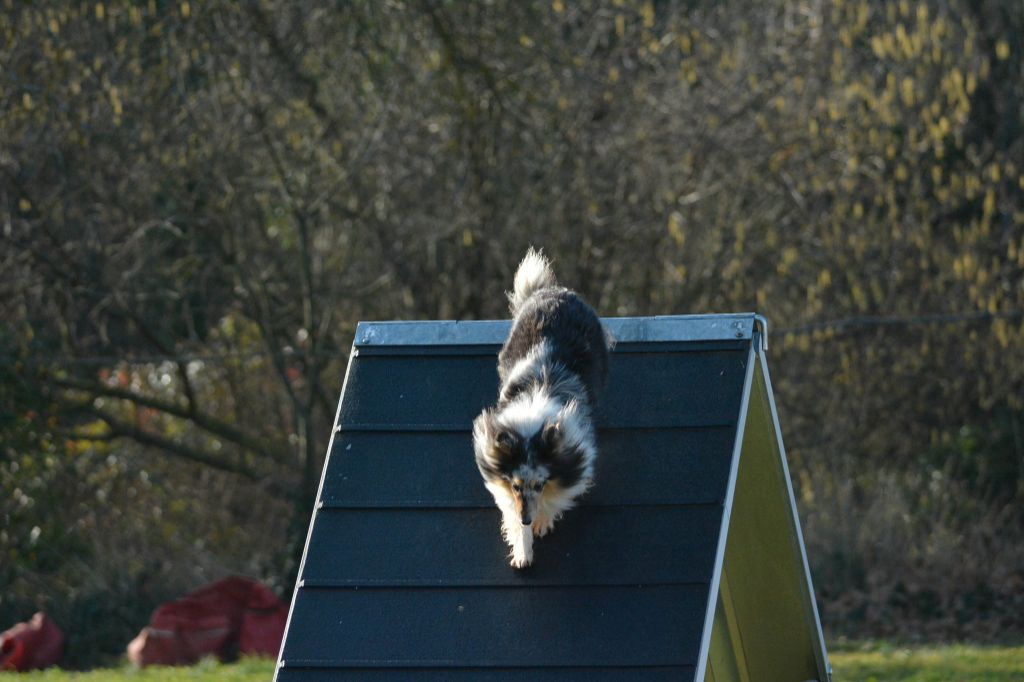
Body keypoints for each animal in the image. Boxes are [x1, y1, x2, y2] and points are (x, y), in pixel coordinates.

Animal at [471, 246, 606, 565]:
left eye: (540, 484)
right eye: (515, 485)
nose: (526, 520)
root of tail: (553, 290)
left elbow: (558, 497)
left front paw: (542, 522)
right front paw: (523, 552)